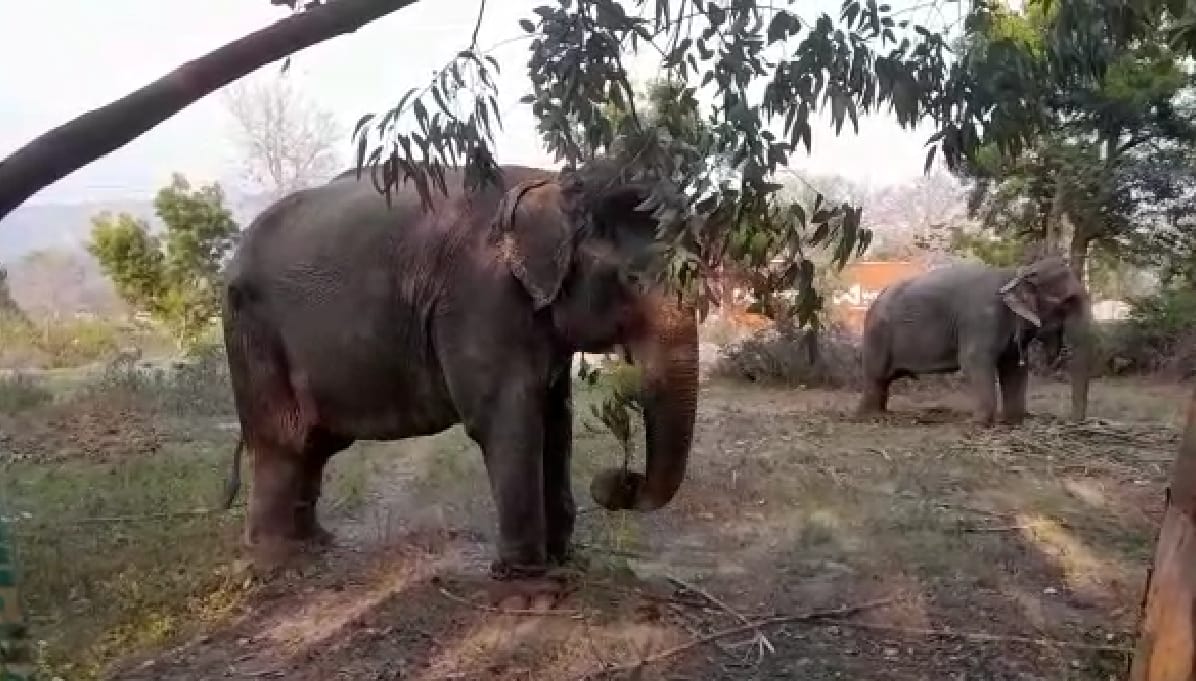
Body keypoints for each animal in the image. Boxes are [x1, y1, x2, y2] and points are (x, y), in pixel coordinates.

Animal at [218, 160, 699, 587]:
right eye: (631, 279)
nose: (615, 483)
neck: (552, 183)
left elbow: (555, 419)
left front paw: (564, 562)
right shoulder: (481, 299)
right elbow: (506, 418)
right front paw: (526, 582)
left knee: (314, 445)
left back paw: (316, 544)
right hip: (254, 336)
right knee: (286, 439)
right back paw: (281, 562)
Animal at [856, 256, 1092, 425]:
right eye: (1067, 303)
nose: (1071, 421)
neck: (1018, 272)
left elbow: (1013, 368)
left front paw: (1013, 420)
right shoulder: (982, 318)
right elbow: (973, 360)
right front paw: (978, 423)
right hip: (877, 333)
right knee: (876, 376)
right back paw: (872, 417)